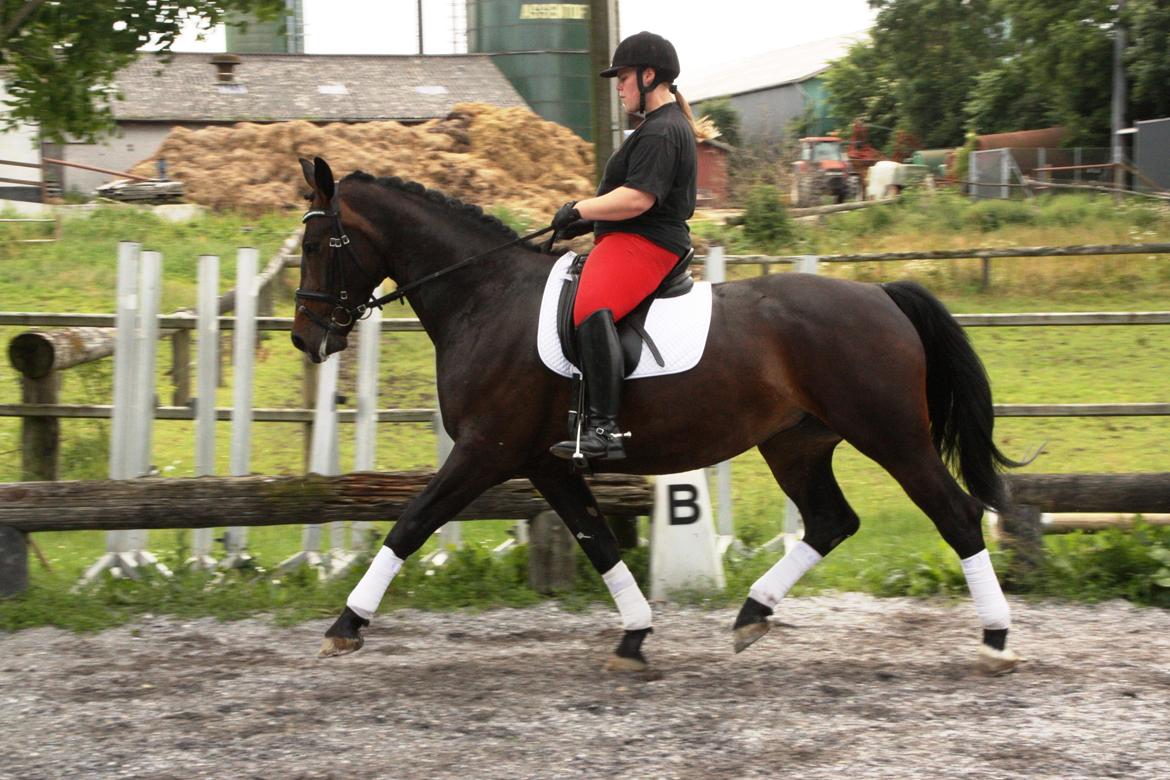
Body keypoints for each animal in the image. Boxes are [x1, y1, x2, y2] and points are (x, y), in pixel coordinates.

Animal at [290, 156, 1024, 678]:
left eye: (322, 244)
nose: (305, 339)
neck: (486, 296)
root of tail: (881, 294)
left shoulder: (485, 451)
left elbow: (411, 523)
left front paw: (345, 626)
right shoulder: (543, 464)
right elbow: (598, 540)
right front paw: (635, 635)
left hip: (892, 436)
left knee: (955, 515)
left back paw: (995, 640)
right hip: (796, 443)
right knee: (831, 521)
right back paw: (752, 614)